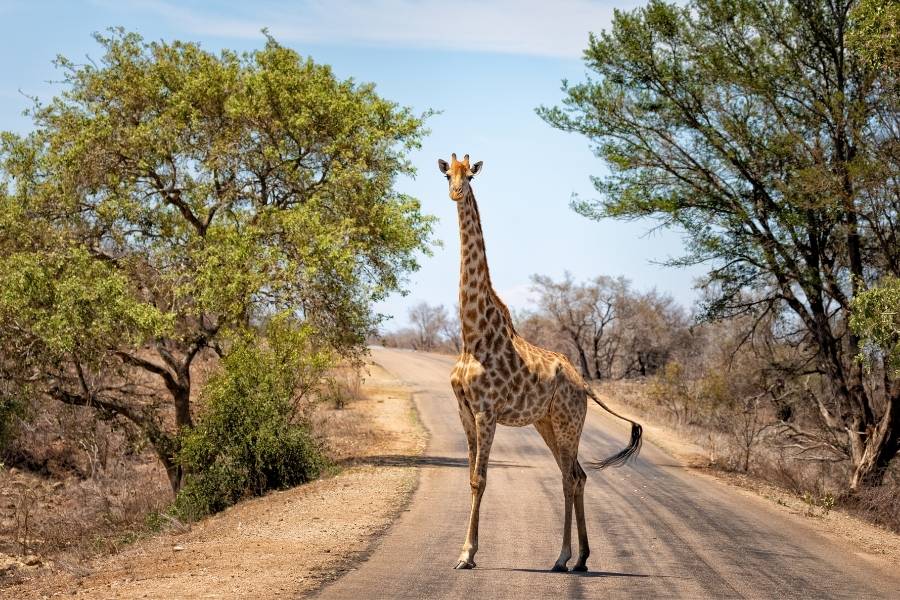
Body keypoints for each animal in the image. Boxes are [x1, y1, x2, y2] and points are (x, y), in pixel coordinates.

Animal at [438, 154, 640, 572]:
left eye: (469, 176)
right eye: (447, 174)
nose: (455, 192)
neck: (471, 336)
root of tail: (585, 385)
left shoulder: (486, 412)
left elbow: (480, 479)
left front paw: (467, 554)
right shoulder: (464, 410)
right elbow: (469, 477)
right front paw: (465, 552)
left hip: (567, 423)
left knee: (570, 478)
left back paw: (563, 557)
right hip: (547, 423)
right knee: (577, 475)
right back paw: (580, 559)